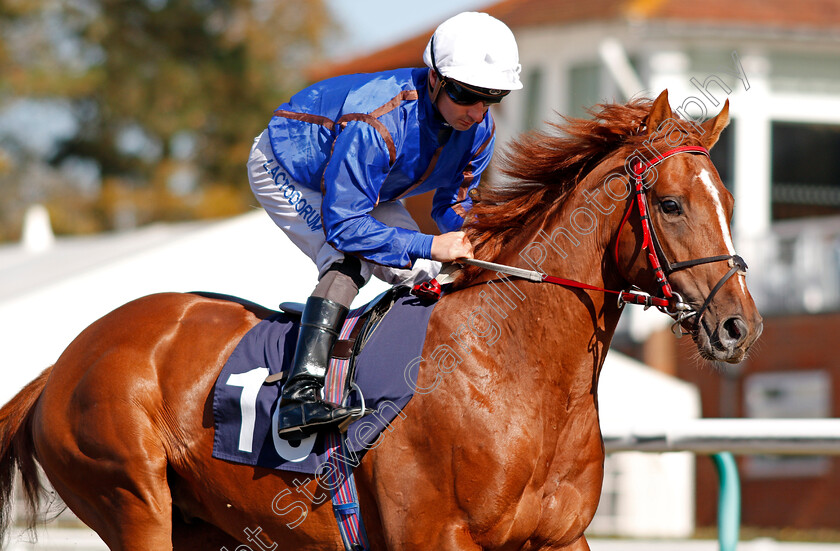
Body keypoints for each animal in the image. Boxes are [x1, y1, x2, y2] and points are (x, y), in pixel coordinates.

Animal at [1, 91, 760, 551]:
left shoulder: (560, 537)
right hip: (133, 500)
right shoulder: (436, 535)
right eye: (670, 204)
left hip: (198, 523)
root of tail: (62, 364)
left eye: (727, 199)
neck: (519, 375)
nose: (738, 326)